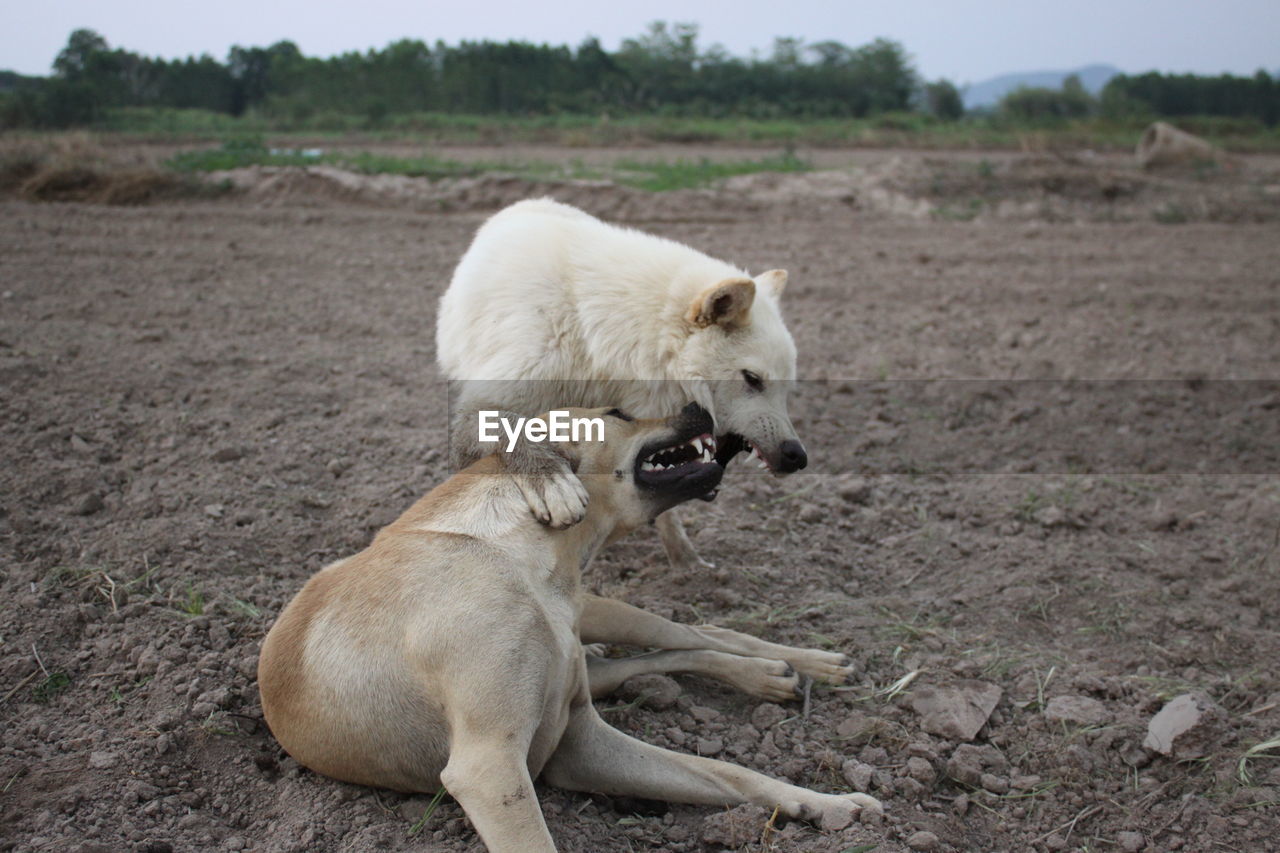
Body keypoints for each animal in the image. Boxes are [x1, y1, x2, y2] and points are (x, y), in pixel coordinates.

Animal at [259, 402, 880, 845]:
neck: (515, 550)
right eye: (618, 412)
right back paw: (774, 673)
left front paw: (825, 803)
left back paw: (799, 666)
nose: (698, 403)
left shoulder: (581, 742)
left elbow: (729, 771)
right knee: (656, 657)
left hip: (609, 617)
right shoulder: (494, 769)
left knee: (696, 637)